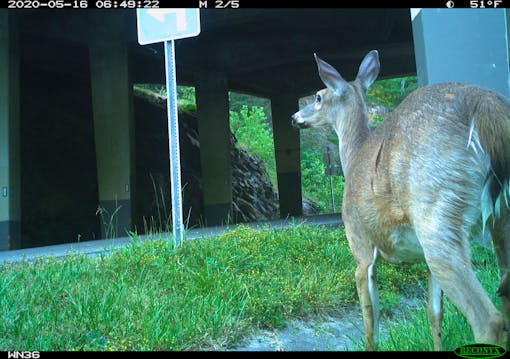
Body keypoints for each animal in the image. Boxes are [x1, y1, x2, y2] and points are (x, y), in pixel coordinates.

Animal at [292, 50, 510, 352]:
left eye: (318, 96)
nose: (294, 117)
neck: (353, 156)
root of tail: (489, 110)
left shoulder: (360, 244)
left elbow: (370, 320)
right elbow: (434, 313)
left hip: (437, 213)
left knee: (489, 319)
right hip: (499, 218)